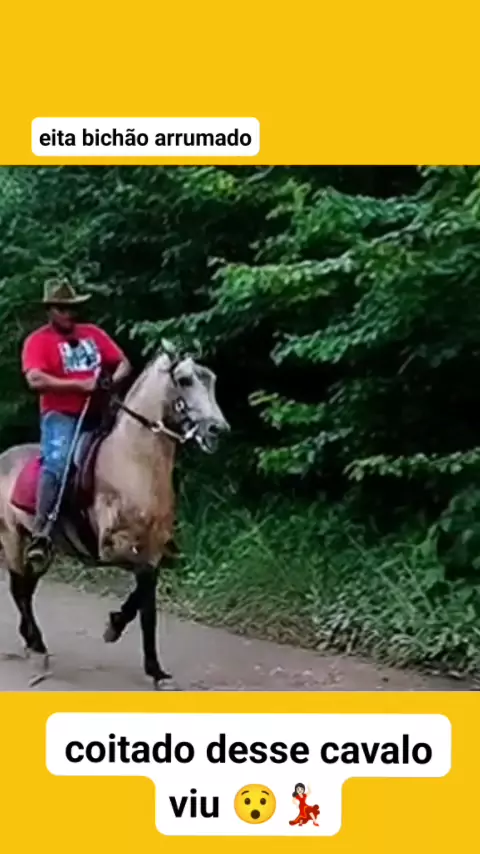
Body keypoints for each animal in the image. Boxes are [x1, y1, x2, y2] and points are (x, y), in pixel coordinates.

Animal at [0, 340, 230, 688]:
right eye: (186, 380)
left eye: (212, 379)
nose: (217, 428)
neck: (134, 464)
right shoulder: (113, 548)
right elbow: (145, 596)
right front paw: (134, 647)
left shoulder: (153, 548)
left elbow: (144, 604)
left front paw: (145, 659)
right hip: (12, 539)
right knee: (18, 589)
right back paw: (37, 646)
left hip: (39, 551)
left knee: (26, 589)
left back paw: (31, 640)